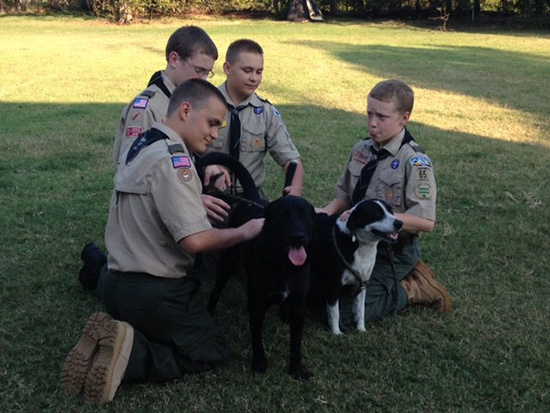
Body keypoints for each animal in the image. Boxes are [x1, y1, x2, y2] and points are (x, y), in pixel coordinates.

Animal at [195, 152, 316, 380]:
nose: (299, 236)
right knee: (217, 289)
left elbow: (295, 345)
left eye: (305, 214)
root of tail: (253, 200)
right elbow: (257, 339)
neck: (284, 265)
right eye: (283, 215)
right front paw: (259, 364)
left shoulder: (300, 307)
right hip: (227, 261)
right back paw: (210, 310)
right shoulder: (258, 305)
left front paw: (296, 370)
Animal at [310, 200, 406, 334]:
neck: (361, 246)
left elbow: (360, 311)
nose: (400, 223)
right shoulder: (333, 286)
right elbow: (335, 313)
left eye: (391, 211)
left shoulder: (362, 284)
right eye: (376, 214)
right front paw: (336, 333)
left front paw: (361, 329)